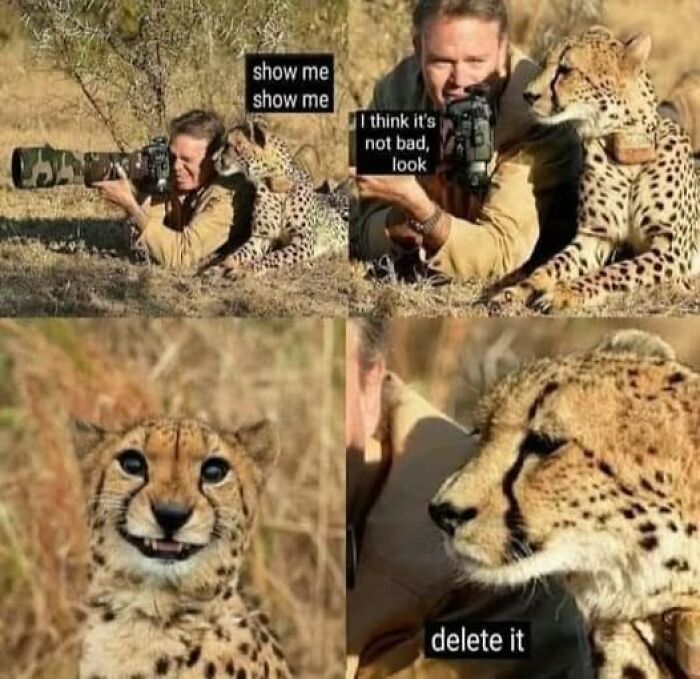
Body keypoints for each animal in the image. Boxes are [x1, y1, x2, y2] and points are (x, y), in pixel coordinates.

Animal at [206, 120, 348, 278]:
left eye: (229, 144)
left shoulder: (303, 240)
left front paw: (246, 269)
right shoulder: (261, 237)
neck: (274, 184)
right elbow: (237, 254)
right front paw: (219, 267)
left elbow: (273, 257)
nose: (213, 159)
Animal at [491, 27, 700, 312]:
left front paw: (564, 292)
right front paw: (515, 291)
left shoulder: (672, 250)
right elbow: (551, 266)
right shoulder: (595, 237)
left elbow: (616, 271)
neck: (623, 150)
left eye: (566, 70)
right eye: (544, 64)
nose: (528, 95)